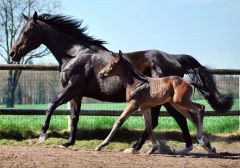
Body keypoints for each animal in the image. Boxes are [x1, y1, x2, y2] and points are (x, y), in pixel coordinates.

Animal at [9, 11, 232, 154]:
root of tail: (175, 58)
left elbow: (51, 106)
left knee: (172, 119)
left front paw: (42, 135)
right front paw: (68, 143)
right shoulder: (76, 94)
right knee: (177, 119)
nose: (12, 53)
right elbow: (74, 117)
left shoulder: (72, 88)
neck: (74, 54)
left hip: (165, 100)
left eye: (27, 31)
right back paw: (189, 146)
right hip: (166, 100)